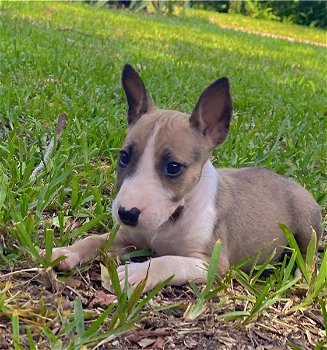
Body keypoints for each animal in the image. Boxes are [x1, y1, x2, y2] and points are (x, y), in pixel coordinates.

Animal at [51, 64, 322, 292]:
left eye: (173, 167)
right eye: (124, 157)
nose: (126, 214)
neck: (172, 218)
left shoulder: (212, 264)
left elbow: (168, 261)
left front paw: (133, 274)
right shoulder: (129, 238)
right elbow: (97, 239)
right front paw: (67, 252)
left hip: (307, 224)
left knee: (309, 254)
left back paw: (301, 275)